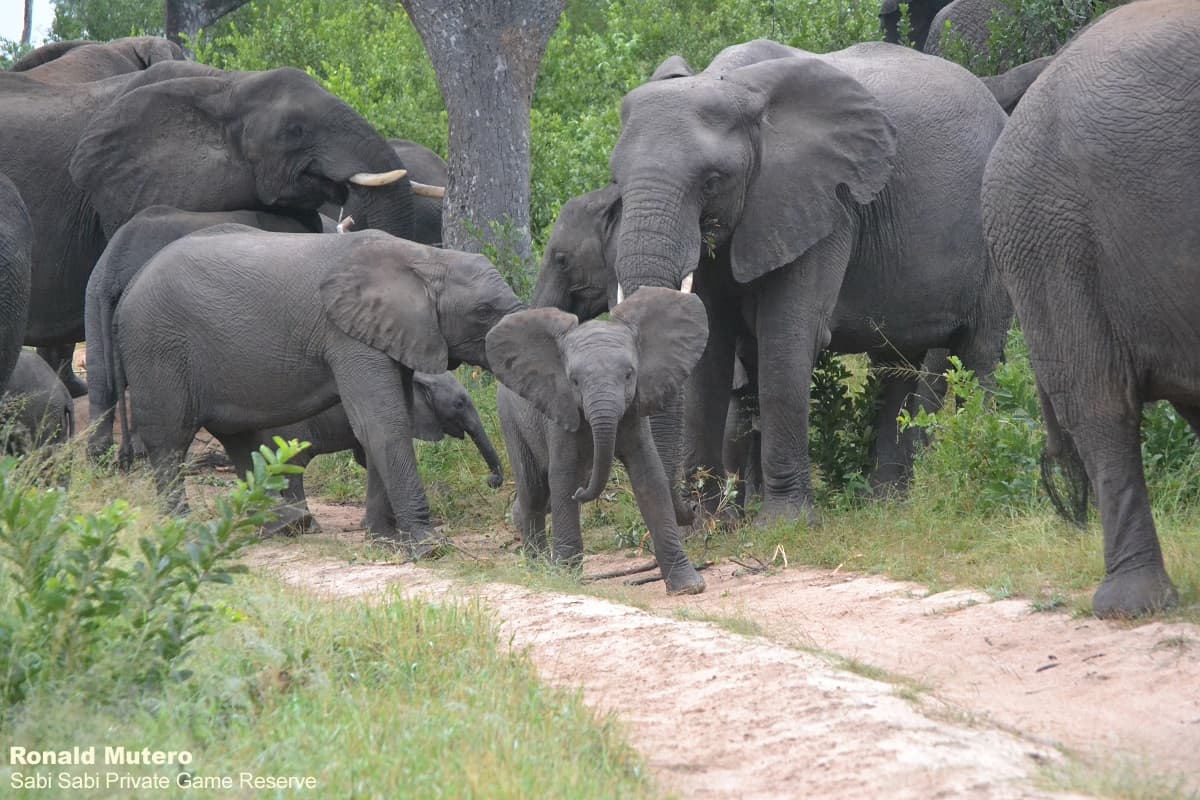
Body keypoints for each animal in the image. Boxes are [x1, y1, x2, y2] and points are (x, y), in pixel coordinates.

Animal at [216, 371, 506, 534]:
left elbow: (369, 457)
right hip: (288, 430)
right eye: (459, 404)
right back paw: (307, 528)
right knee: (293, 471)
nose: (491, 480)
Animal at [489, 287, 710, 594]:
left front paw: (689, 587)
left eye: (629, 374)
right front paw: (565, 579)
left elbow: (649, 477)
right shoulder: (560, 410)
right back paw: (539, 571)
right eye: (574, 381)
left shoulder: (633, 411)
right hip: (510, 418)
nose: (693, 507)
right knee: (534, 491)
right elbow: (564, 476)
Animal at [609, 38, 1012, 525]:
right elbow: (711, 348)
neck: (733, 84)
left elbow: (786, 337)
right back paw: (884, 503)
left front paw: (784, 523)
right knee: (895, 363)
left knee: (981, 354)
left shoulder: (826, 205)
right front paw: (709, 526)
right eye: (616, 182)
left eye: (712, 181)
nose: (684, 507)